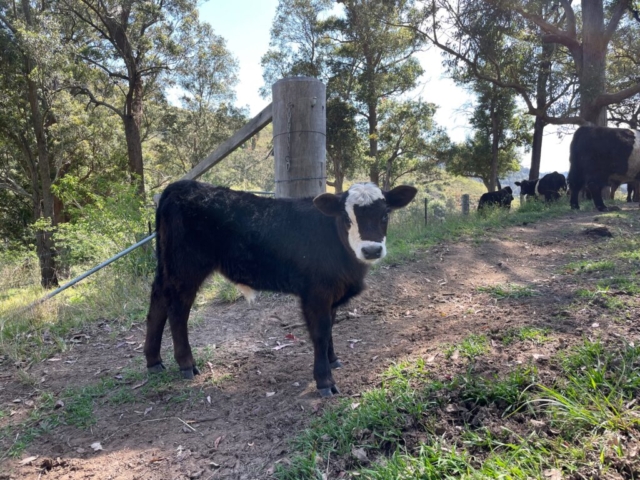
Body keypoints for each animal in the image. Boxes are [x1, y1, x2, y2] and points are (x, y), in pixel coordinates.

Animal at [142, 180, 418, 398]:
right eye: (347, 218)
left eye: (385, 215)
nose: (371, 250)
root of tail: (182, 185)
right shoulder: (315, 293)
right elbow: (320, 331)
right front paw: (324, 380)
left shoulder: (331, 294)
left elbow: (331, 325)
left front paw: (333, 359)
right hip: (185, 268)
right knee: (178, 310)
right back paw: (186, 364)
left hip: (169, 266)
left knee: (158, 300)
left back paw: (154, 361)